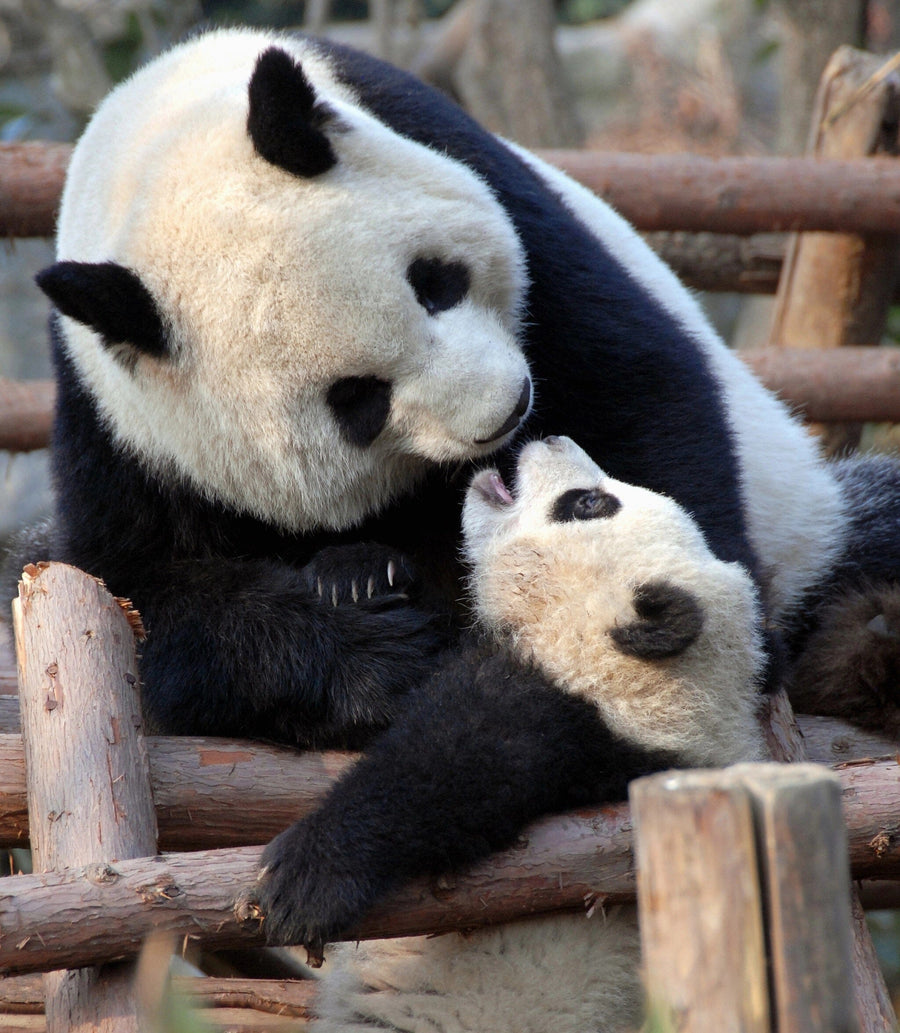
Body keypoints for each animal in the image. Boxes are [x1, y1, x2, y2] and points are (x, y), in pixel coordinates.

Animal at [24, 25, 850, 753]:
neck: (154, 141)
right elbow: (144, 593)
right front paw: (374, 650)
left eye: (434, 281)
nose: (506, 409)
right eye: (356, 399)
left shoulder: (477, 175)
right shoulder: (125, 424)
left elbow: (636, 390)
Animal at [256, 435, 767, 1033]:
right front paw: (358, 572)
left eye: (588, 504)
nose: (551, 437)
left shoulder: (574, 733)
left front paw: (301, 882)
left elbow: (444, 780)